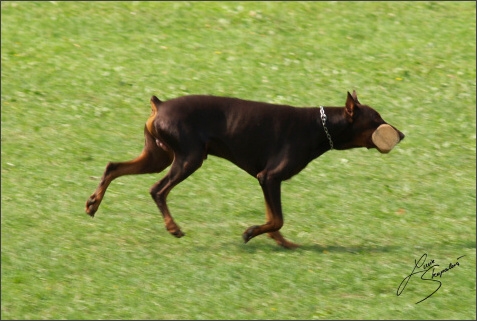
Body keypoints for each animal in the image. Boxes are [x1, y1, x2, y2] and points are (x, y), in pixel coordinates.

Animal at [85, 90, 402, 248]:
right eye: (377, 119)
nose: (401, 134)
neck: (319, 126)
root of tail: (159, 106)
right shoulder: (270, 177)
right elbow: (277, 219)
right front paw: (251, 233)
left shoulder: (267, 181)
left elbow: (273, 218)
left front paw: (282, 243)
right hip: (190, 157)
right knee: (157, 190)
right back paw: (173, 228)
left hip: (158, 156)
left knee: (113, 167)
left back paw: (93, 203)